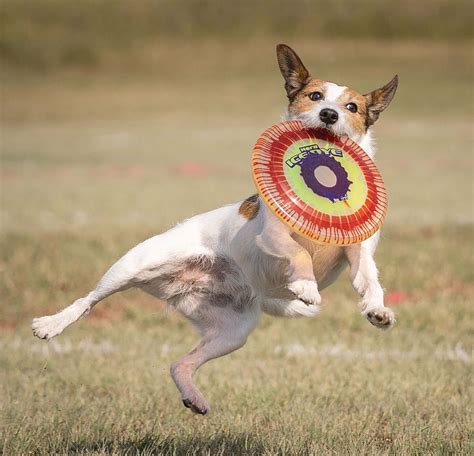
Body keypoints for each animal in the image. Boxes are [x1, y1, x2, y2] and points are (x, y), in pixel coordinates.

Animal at [31, 44, 398, 416]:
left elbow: (369, 280)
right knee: (88, 300)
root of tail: (187, 284)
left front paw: (378, 311)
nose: (328, 115)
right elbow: (297, 253)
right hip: (134, 265)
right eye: (315, 96)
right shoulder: (272, 236)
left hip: (232, 332)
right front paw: (306, 285)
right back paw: (50, 324)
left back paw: (193, 397)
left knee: (179, 364)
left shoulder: (360, 252)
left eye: (351, 107)